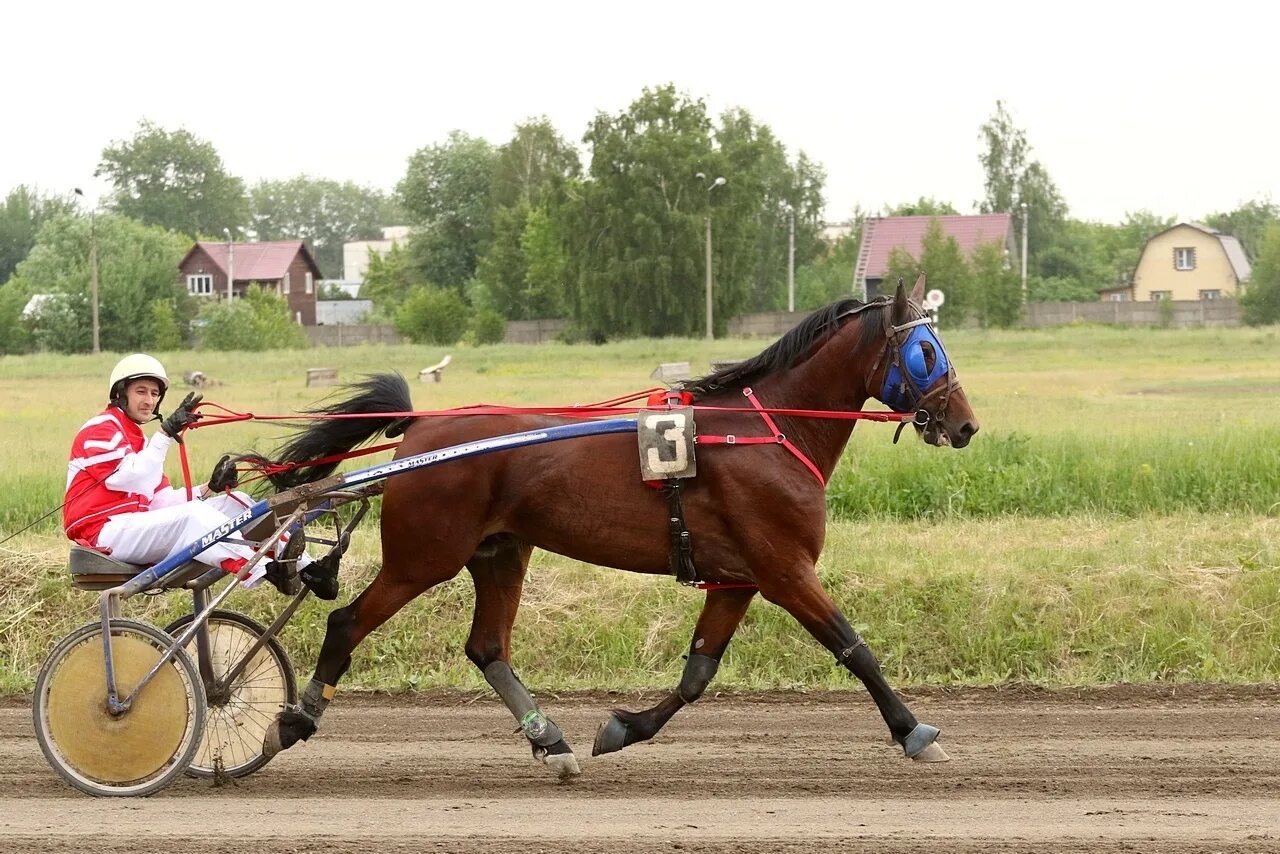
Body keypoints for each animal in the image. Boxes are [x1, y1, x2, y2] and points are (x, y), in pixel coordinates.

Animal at [259, 277, 977, 778]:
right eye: (924, 351)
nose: (966, 423)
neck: (766, 429)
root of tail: (421, 428)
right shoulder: (784, 569)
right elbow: (854, 648)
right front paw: (913, 731)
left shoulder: (736, 580)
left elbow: (697, 675)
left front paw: (624, 727)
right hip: (424, 556)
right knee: (346, 623)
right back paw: (294, 721)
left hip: (500, 551)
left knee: (487, 648)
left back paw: (552, 742)